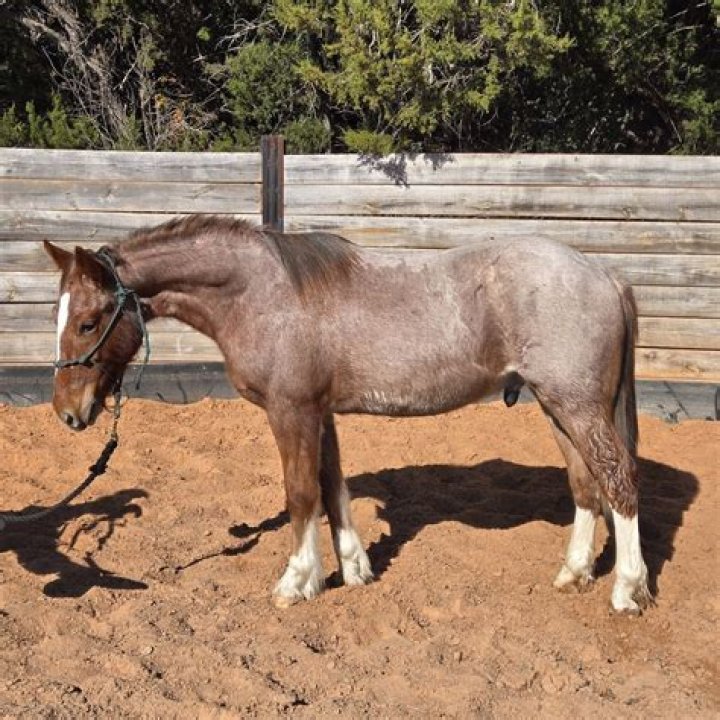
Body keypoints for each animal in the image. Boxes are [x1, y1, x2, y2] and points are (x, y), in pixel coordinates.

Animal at [44, 214, 651, 613]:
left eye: (89, 321)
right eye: (61, 316)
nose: (69, 412)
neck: (262, 293)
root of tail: (605, 275)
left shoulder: (291, 411)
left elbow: (301, 494)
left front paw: (298, 581)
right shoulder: (320, 413)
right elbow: (333, 486)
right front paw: (354, 568)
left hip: (577, 406)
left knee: (618, 482)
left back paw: (627, 590)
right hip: (557, 405)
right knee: (586, 485)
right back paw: (574, 573)